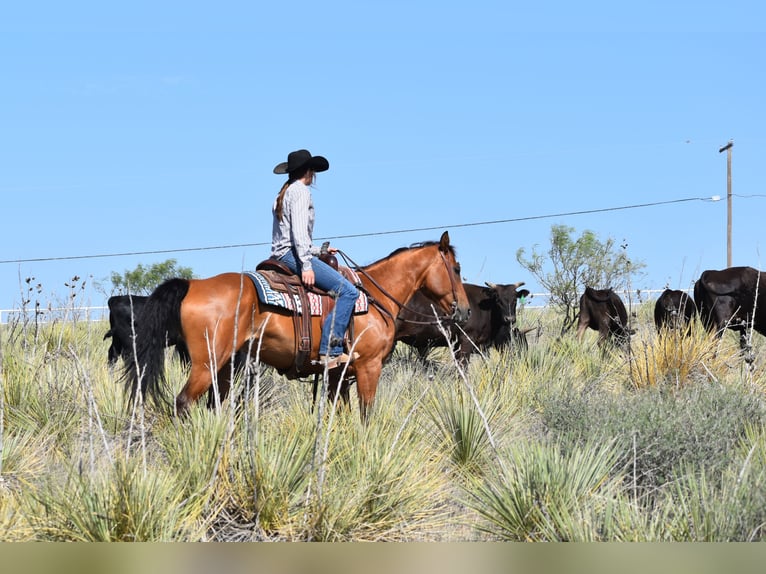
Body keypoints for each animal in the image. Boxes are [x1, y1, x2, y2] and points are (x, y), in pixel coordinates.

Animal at [123, 231, 470, 421]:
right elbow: (365, 416)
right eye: (456, 268)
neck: (373, 299)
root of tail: (191, 284)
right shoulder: (369, 368)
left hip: (227, 366)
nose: (465, 310)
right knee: (183, 403)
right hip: (206, 364)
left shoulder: (337, 377)